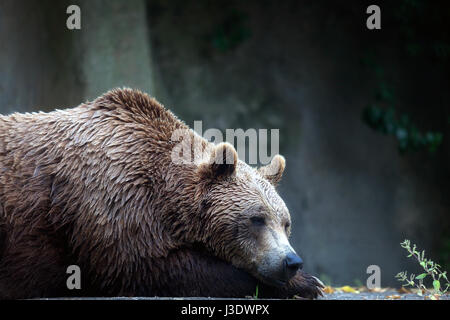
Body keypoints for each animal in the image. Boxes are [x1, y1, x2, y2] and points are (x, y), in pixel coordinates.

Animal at [0, 88, 324, 300]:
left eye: (285, 222)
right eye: (256, 218)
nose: (291, 261)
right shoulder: (110, 203)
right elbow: (150, 266)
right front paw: (309, 283)